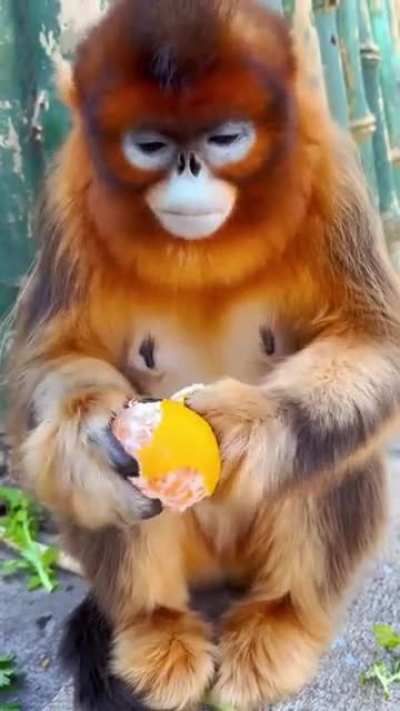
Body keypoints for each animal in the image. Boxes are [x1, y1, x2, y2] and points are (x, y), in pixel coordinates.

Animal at [7, 0, 400, 709]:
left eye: (223, 138)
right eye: (152, 146)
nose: (188, 170)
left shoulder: (331, 171)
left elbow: (371, 342)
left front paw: (257, 425)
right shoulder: (69, 197)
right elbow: (48, 361)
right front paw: (83, 439)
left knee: (328, 454)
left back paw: (280, 619)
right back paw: (158, 632)